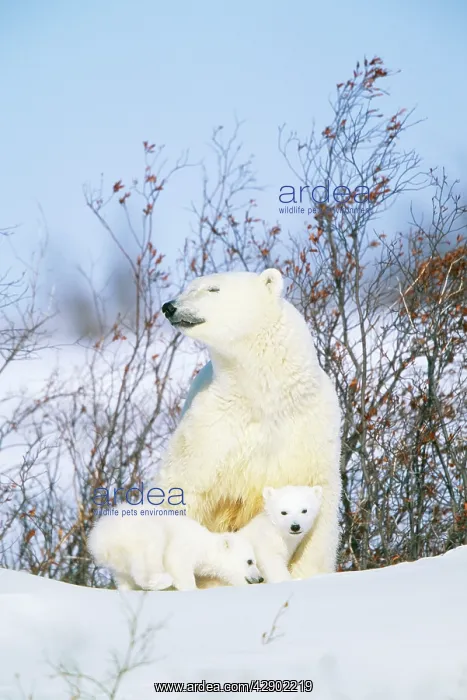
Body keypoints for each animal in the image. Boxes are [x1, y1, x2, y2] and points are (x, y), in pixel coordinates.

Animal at [88, 507, 263, 591]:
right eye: (250, 561)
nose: (261, 578)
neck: (205, 545)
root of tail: (98, 537)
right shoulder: (184, 546)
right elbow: (178, 563)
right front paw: (192, 588)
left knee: (123, 577)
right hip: (141, 534)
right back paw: (162, 580)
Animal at [159, 268, 342, 581]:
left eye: (213, 289)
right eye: (189, 287)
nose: (169, 306)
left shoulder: (311, 431)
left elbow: (319, 506)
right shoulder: (211, 429)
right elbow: (181, 487)